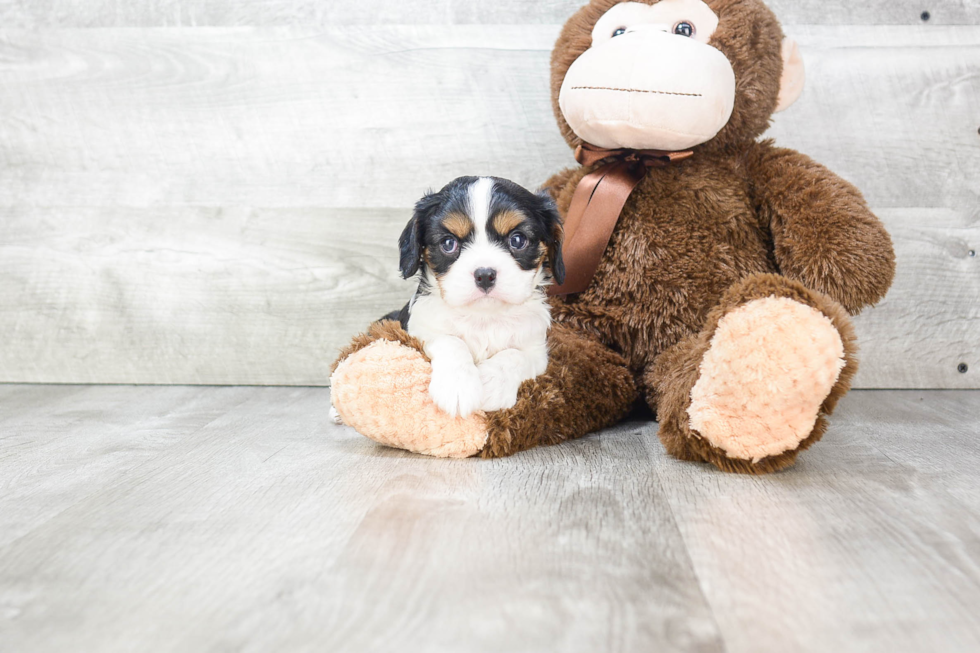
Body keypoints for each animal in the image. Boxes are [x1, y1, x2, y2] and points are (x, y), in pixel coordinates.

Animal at [386, 174, 564, 418]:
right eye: (448, 243)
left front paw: (491, 384)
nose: (485, 275)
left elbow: (515, 355)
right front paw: (458, 386)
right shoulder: (418, 329)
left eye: (517, 240)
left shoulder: (537, 350)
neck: (483, 317)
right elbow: (450, 341)